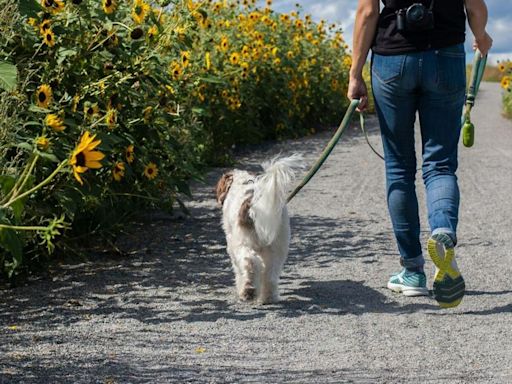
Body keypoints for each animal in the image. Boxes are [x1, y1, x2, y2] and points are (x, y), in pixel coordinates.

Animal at [215, 154, 304, 304]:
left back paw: (248, 291)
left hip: (242, 244)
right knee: (270, 274)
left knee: (250, 263)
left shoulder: (232, 245)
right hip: (277, 246)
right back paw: (269, 297)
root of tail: (252, 203)